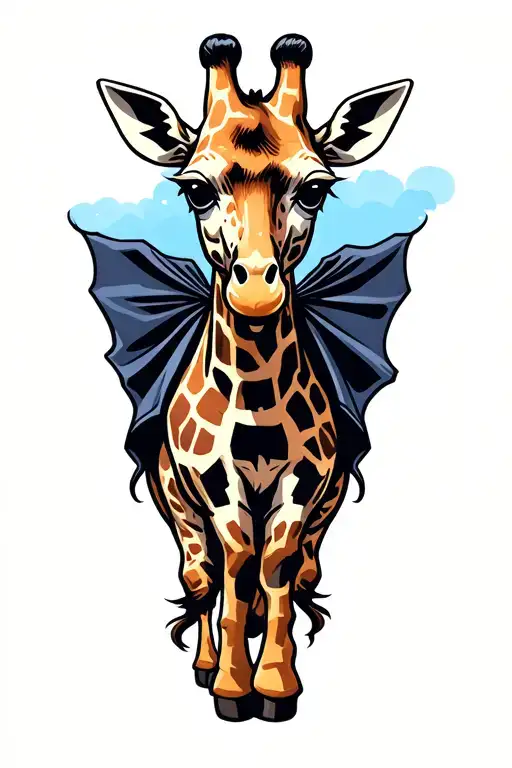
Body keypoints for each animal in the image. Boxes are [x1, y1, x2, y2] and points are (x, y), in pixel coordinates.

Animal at [96, 33, 412, 721]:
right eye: (195, 188)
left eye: (316, 188)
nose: (257, 291)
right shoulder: (213, 483)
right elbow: (237, 563)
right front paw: (230, 688)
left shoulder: (307, 481)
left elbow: (276, 565)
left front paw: (276, 686)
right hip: (177, 505)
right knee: (201, 574)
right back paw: (205, 664)